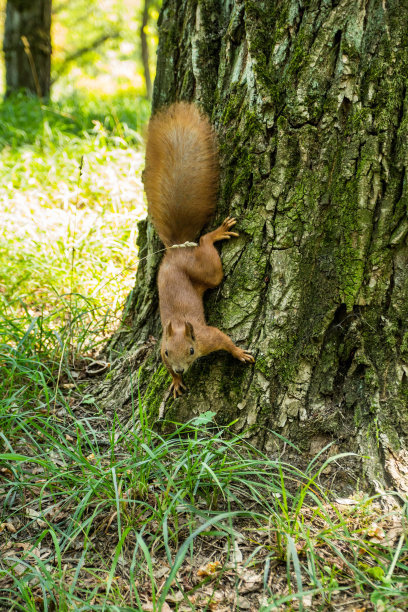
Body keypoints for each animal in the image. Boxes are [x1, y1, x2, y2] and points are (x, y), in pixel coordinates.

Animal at [142, 100, 253, 396]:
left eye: (191, 350)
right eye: (167, 353)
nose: (181, 369)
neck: (182, 326)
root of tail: (176, 249)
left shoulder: (207, 336)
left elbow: (224, 339)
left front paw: (239, 353)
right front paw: (175, 381)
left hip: (207, 271)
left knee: (205, 246)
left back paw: (216, 234)